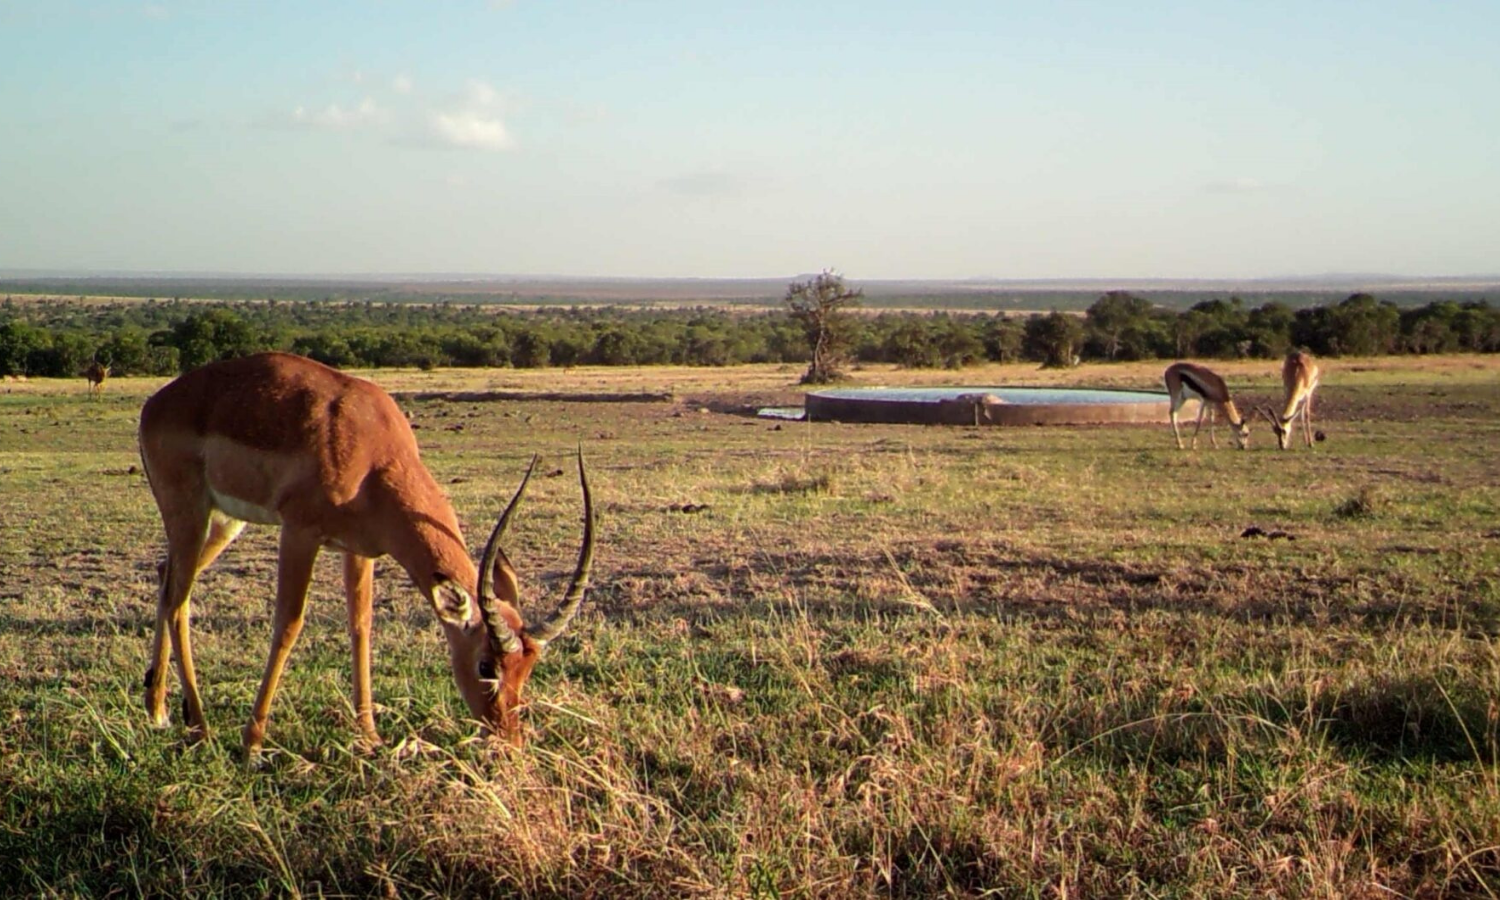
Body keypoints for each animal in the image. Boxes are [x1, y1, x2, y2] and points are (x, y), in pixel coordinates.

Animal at [137, 352, 594, 755]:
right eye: (487, 666)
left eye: (528, 668)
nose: (508, 739)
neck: (371, 454)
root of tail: (155, 404)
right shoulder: (300, 533)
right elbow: (288, 625)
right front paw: (253, 746)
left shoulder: (361, 550)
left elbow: (361, 627)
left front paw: (370, 736)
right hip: (191, 513)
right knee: (178, 601)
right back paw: (199, 727)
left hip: (226, 522)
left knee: (165, 577)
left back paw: (158, 710)